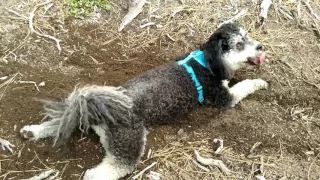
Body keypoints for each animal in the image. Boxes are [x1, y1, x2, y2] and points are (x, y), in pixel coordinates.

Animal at [20, 23, 268, 179]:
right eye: (239, 44)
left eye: (247, 35)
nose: (260, 46)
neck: (206, 62)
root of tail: (100, 110)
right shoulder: (223, 97)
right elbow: (244, 86)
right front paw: (261, 82)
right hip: (128, 142)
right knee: (101, 172)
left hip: (79, 112)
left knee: (61, 121)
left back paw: (32, 131)